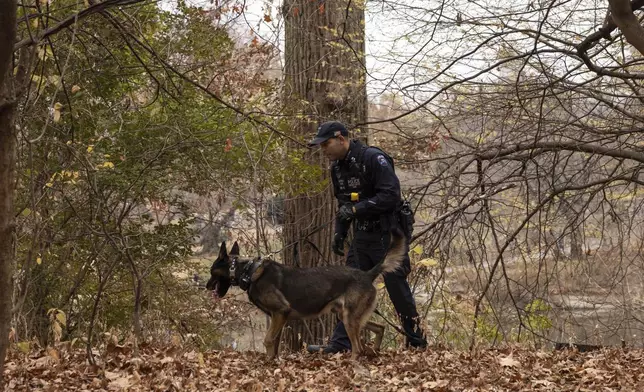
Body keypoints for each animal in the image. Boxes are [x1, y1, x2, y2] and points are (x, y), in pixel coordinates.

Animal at [208, 228, 408, 360]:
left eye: (211, 272)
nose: (207, 286)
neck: (249, 272)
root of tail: (367, 274)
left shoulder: (280, 312)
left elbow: (267, 340)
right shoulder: (278, 317)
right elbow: (275, 343)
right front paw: (273, 362)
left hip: (349, 318)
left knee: (357, 348)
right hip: (346, 315)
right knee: (379, 328)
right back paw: (374, 352)